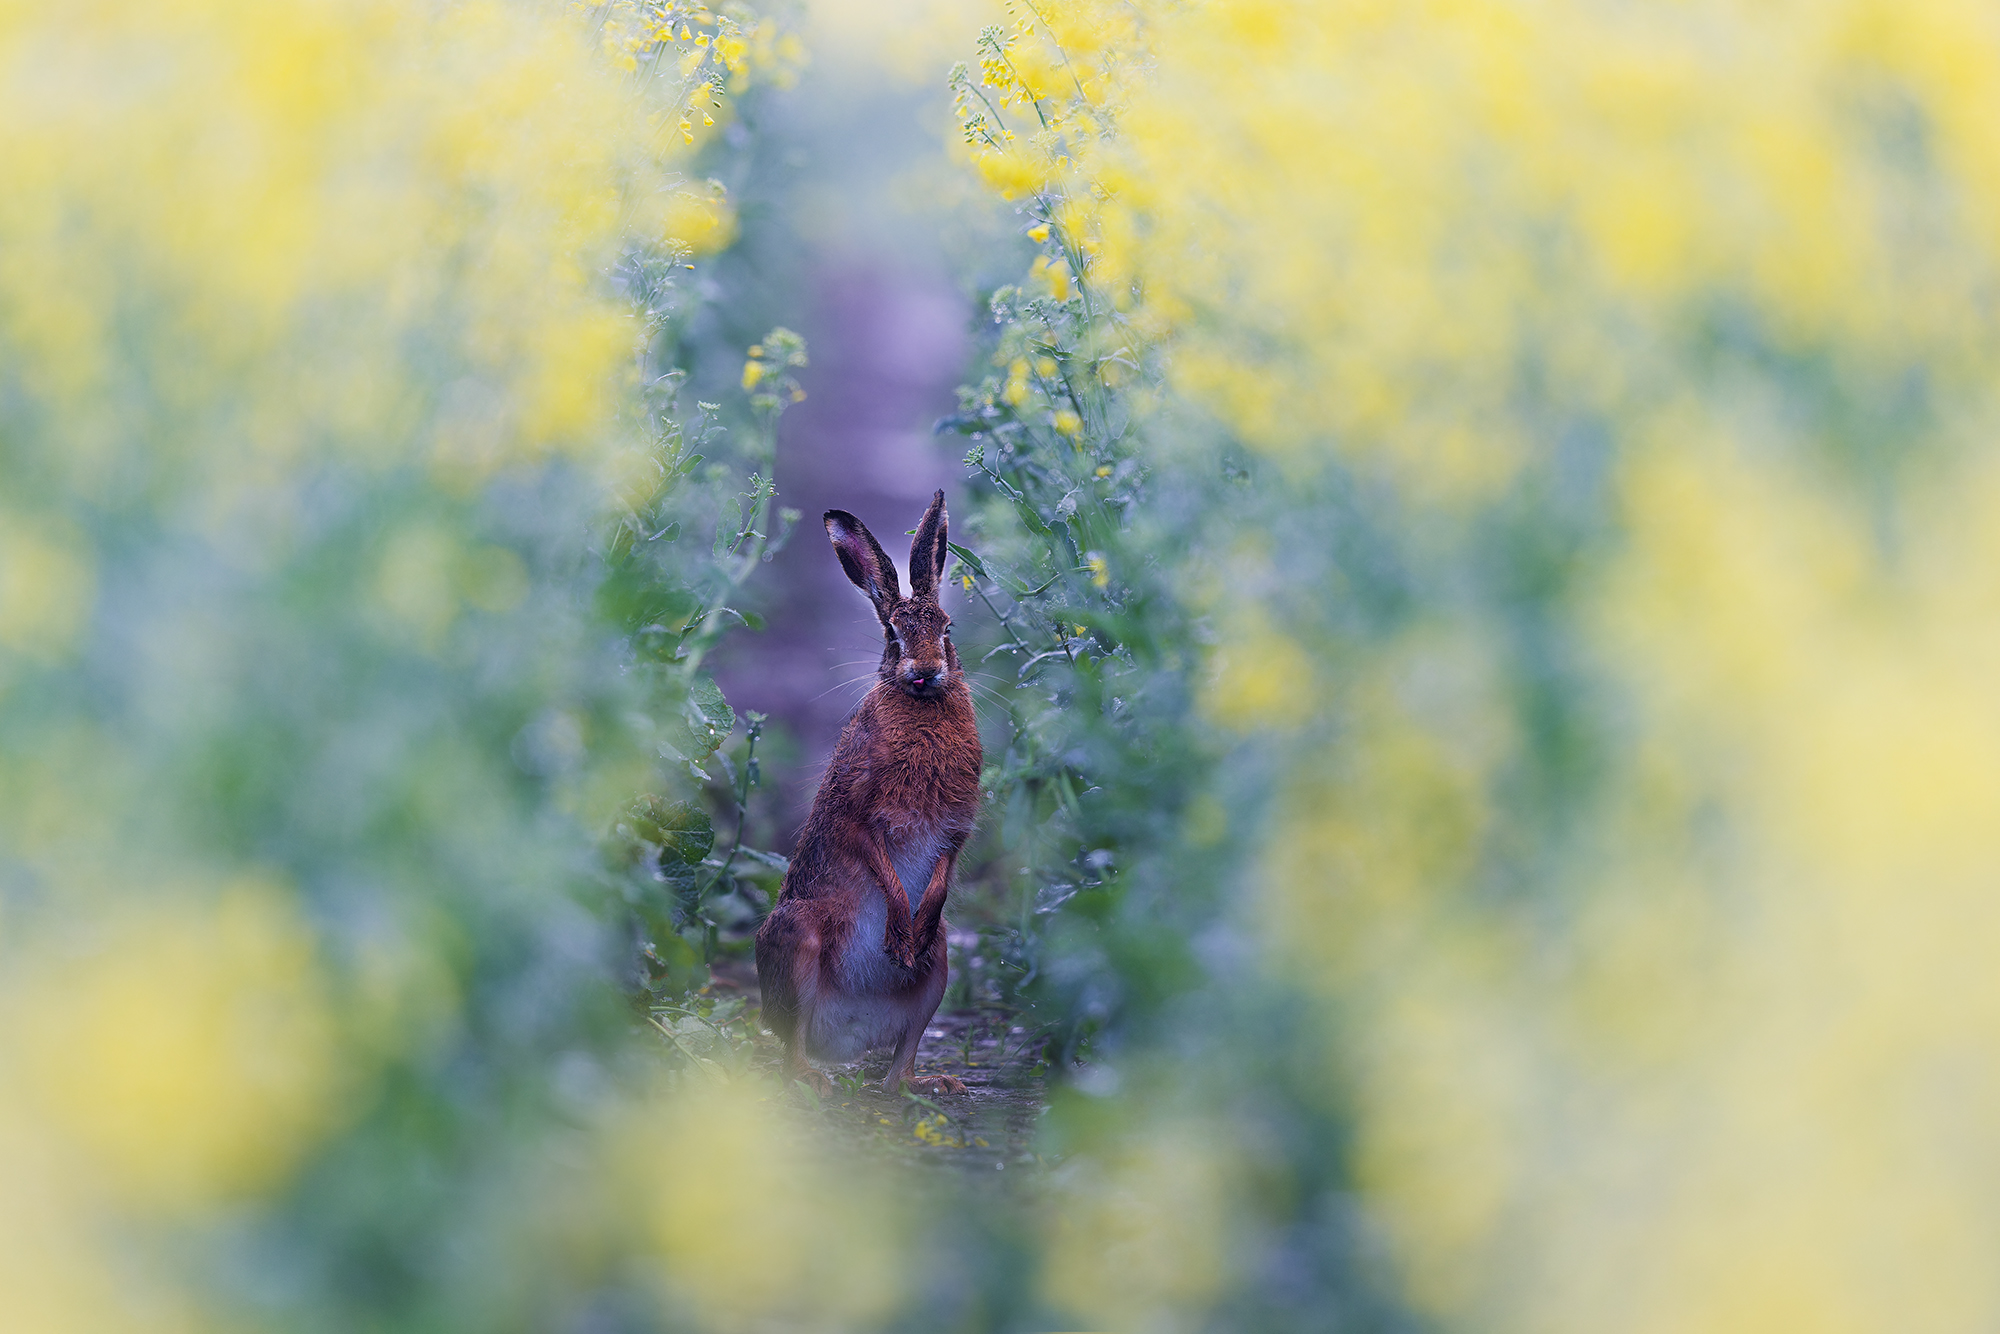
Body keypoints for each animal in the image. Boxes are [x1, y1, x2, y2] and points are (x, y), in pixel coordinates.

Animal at [754, 490, 981, 1095]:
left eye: (947, 629)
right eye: (892, 637)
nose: (925, 672)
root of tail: (847, 1038)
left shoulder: (956, 827)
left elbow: (943, 871)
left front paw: (908, 937)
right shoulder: (858, 813)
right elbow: (878, 862)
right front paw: (899, 931)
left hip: (940, 964)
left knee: (900, 1062)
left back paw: (930, 1083)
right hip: (797, 937)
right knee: (790, 1044)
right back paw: (813, 1077)